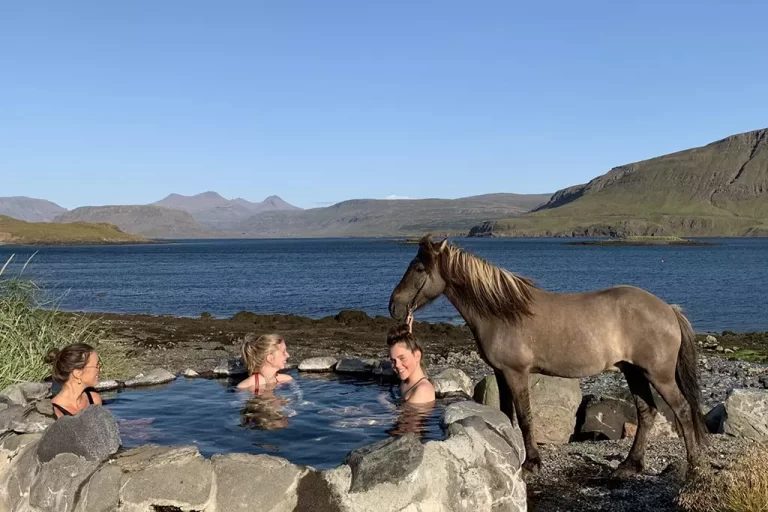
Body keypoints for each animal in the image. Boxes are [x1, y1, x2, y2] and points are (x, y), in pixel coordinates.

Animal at [390, 234, 708, 478]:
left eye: (419, 268)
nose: (394, 306)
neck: (503, 311)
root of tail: (668, 309)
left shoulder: (516, 373)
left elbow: (525, 417)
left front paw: (532, 462)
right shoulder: (502, 373)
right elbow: (506, 414)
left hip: (659, 375)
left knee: (681, 410)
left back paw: (693, 466)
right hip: (633, 371)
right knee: (647, 413)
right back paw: (631, 465)